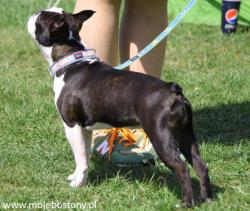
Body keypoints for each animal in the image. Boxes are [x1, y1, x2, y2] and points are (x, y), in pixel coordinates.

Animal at [26, 7, 211, 206]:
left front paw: (77, 184)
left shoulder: (72, 126)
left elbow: (79, 156)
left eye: (41, 17)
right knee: (200, 164)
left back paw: (187, 202)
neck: (70, 60)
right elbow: (83, 156)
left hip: (161, 136)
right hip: (185, 134)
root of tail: (172, 89)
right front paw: (78, 178)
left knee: (182, 167)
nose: (33, 12)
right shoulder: (85, 129)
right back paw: (207, 198)